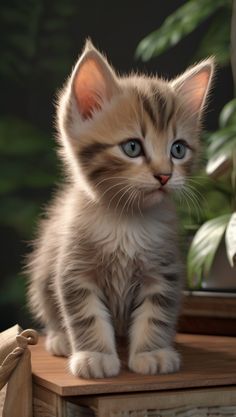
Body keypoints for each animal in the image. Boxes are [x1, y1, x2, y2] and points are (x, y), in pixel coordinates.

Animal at [27, 41, 214, 376]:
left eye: (178, 149)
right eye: (132, 147)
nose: (165, 175)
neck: (126, 219)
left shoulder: (163, 270)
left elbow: (156, 314)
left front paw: (152, 352)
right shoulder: (74, 268)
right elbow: (86, 314)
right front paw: (94, 355)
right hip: (42, 274)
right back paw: (60, 338)